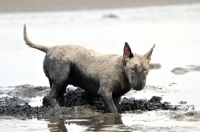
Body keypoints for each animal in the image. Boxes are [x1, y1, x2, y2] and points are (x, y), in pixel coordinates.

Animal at [23, 24, 155, 113]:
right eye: (132, 69)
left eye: (145, 70)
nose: (139, 86)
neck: (121, 69)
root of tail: (49, 48)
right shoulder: (104, 93)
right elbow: (114, 111)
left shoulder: (117, 96)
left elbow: (113, 108)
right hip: (61, 77)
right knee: (51, 96)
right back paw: (60, 109)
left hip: (60, 82)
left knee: (57, 95)